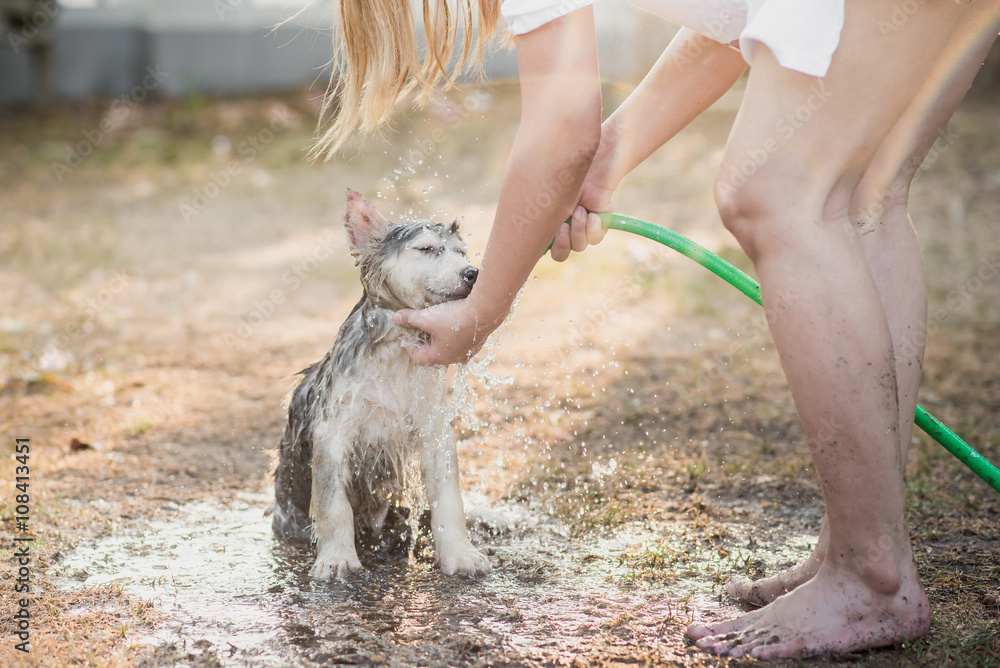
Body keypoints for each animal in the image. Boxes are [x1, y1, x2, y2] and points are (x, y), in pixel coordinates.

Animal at [272, 189, 490, 580]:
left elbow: (449, 501)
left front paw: (460, 554)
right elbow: (333, 504)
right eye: (426, 249)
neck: (396, 355)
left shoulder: (435, 433)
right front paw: (337, 558)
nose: (473, 273)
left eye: (462, 252)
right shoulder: (333, 434)